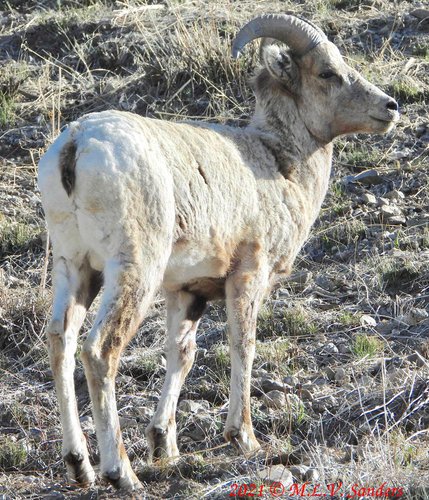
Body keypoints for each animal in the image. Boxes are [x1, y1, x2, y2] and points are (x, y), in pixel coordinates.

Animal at [39, 13, 398, 490]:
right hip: (132, 271)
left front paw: (165, 447)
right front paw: (244, 438)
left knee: (61, 341)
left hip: (76, 269)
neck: (276, 163)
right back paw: (123, 474)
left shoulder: (186, 292)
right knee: (99, 351)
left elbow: (182, 355)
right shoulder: (247, 276)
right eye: (327, 73)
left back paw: (80, 465)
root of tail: (77, 144)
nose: (390, 107)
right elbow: (242, 344)